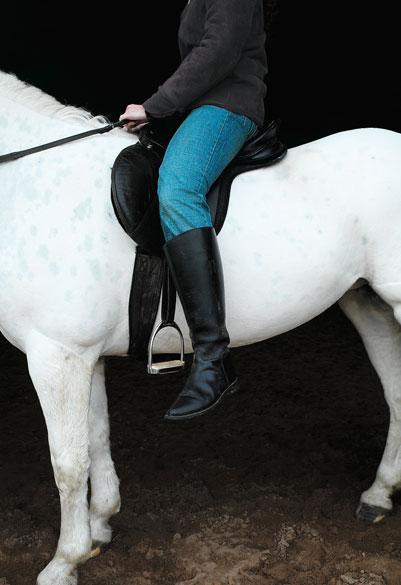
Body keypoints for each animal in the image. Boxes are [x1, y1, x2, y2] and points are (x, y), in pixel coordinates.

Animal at [0, 67, 400, 580]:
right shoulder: (83, 356)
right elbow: (97, 437)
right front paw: (100, 527)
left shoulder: (56, 355)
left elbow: (67, 462)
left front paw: (63, 562)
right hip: (367, 302)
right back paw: (378, 494)